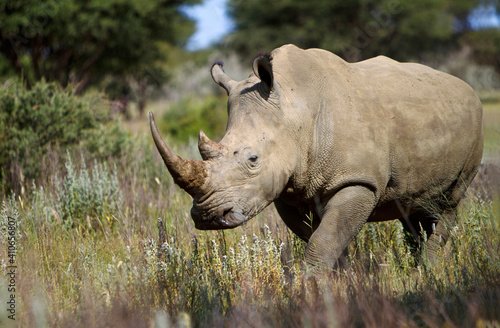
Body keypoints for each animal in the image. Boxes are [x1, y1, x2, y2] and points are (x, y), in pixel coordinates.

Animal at [150, 43, 482, 270]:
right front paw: (344, 281)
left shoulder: (358, 181)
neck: (295, 107)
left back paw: (427, 272)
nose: (208, 216)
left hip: (473, 124)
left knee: (449, 203)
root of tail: (466, 85)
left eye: (253, 160)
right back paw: (417, 270)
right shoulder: (286, 189)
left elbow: (324, 240)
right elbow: (322, 239)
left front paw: (312, 290)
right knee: (414, 208)